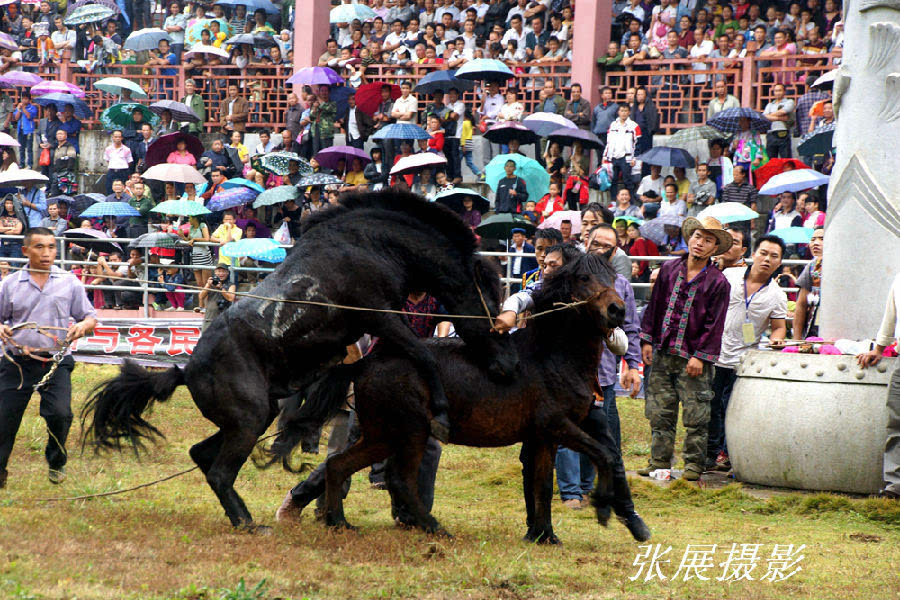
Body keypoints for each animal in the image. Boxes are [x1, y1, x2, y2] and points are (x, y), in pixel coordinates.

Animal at [86, 190, 520, 528]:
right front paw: (442, 416)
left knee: (203, 456)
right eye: (490, 300)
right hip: (248, 418)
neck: (370, 245)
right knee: (221, 471)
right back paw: (249, 523)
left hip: (254, 416)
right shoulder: (379, 316)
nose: (508, 364)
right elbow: (423, 357)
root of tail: (184, 369)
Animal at [272, 253, 640, 544]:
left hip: (382, 434)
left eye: (612, 276)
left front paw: (545, 536)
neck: (550, 357)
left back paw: (339, 522)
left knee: (338, 464)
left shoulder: (544, 437)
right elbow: (605, 454)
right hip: (410, 431)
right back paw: (434, 528)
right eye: (583, 277)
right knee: (398, 480)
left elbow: (542, 487)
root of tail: (366, 363)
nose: (617, 310)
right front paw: (603, 509)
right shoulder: (558, 425)